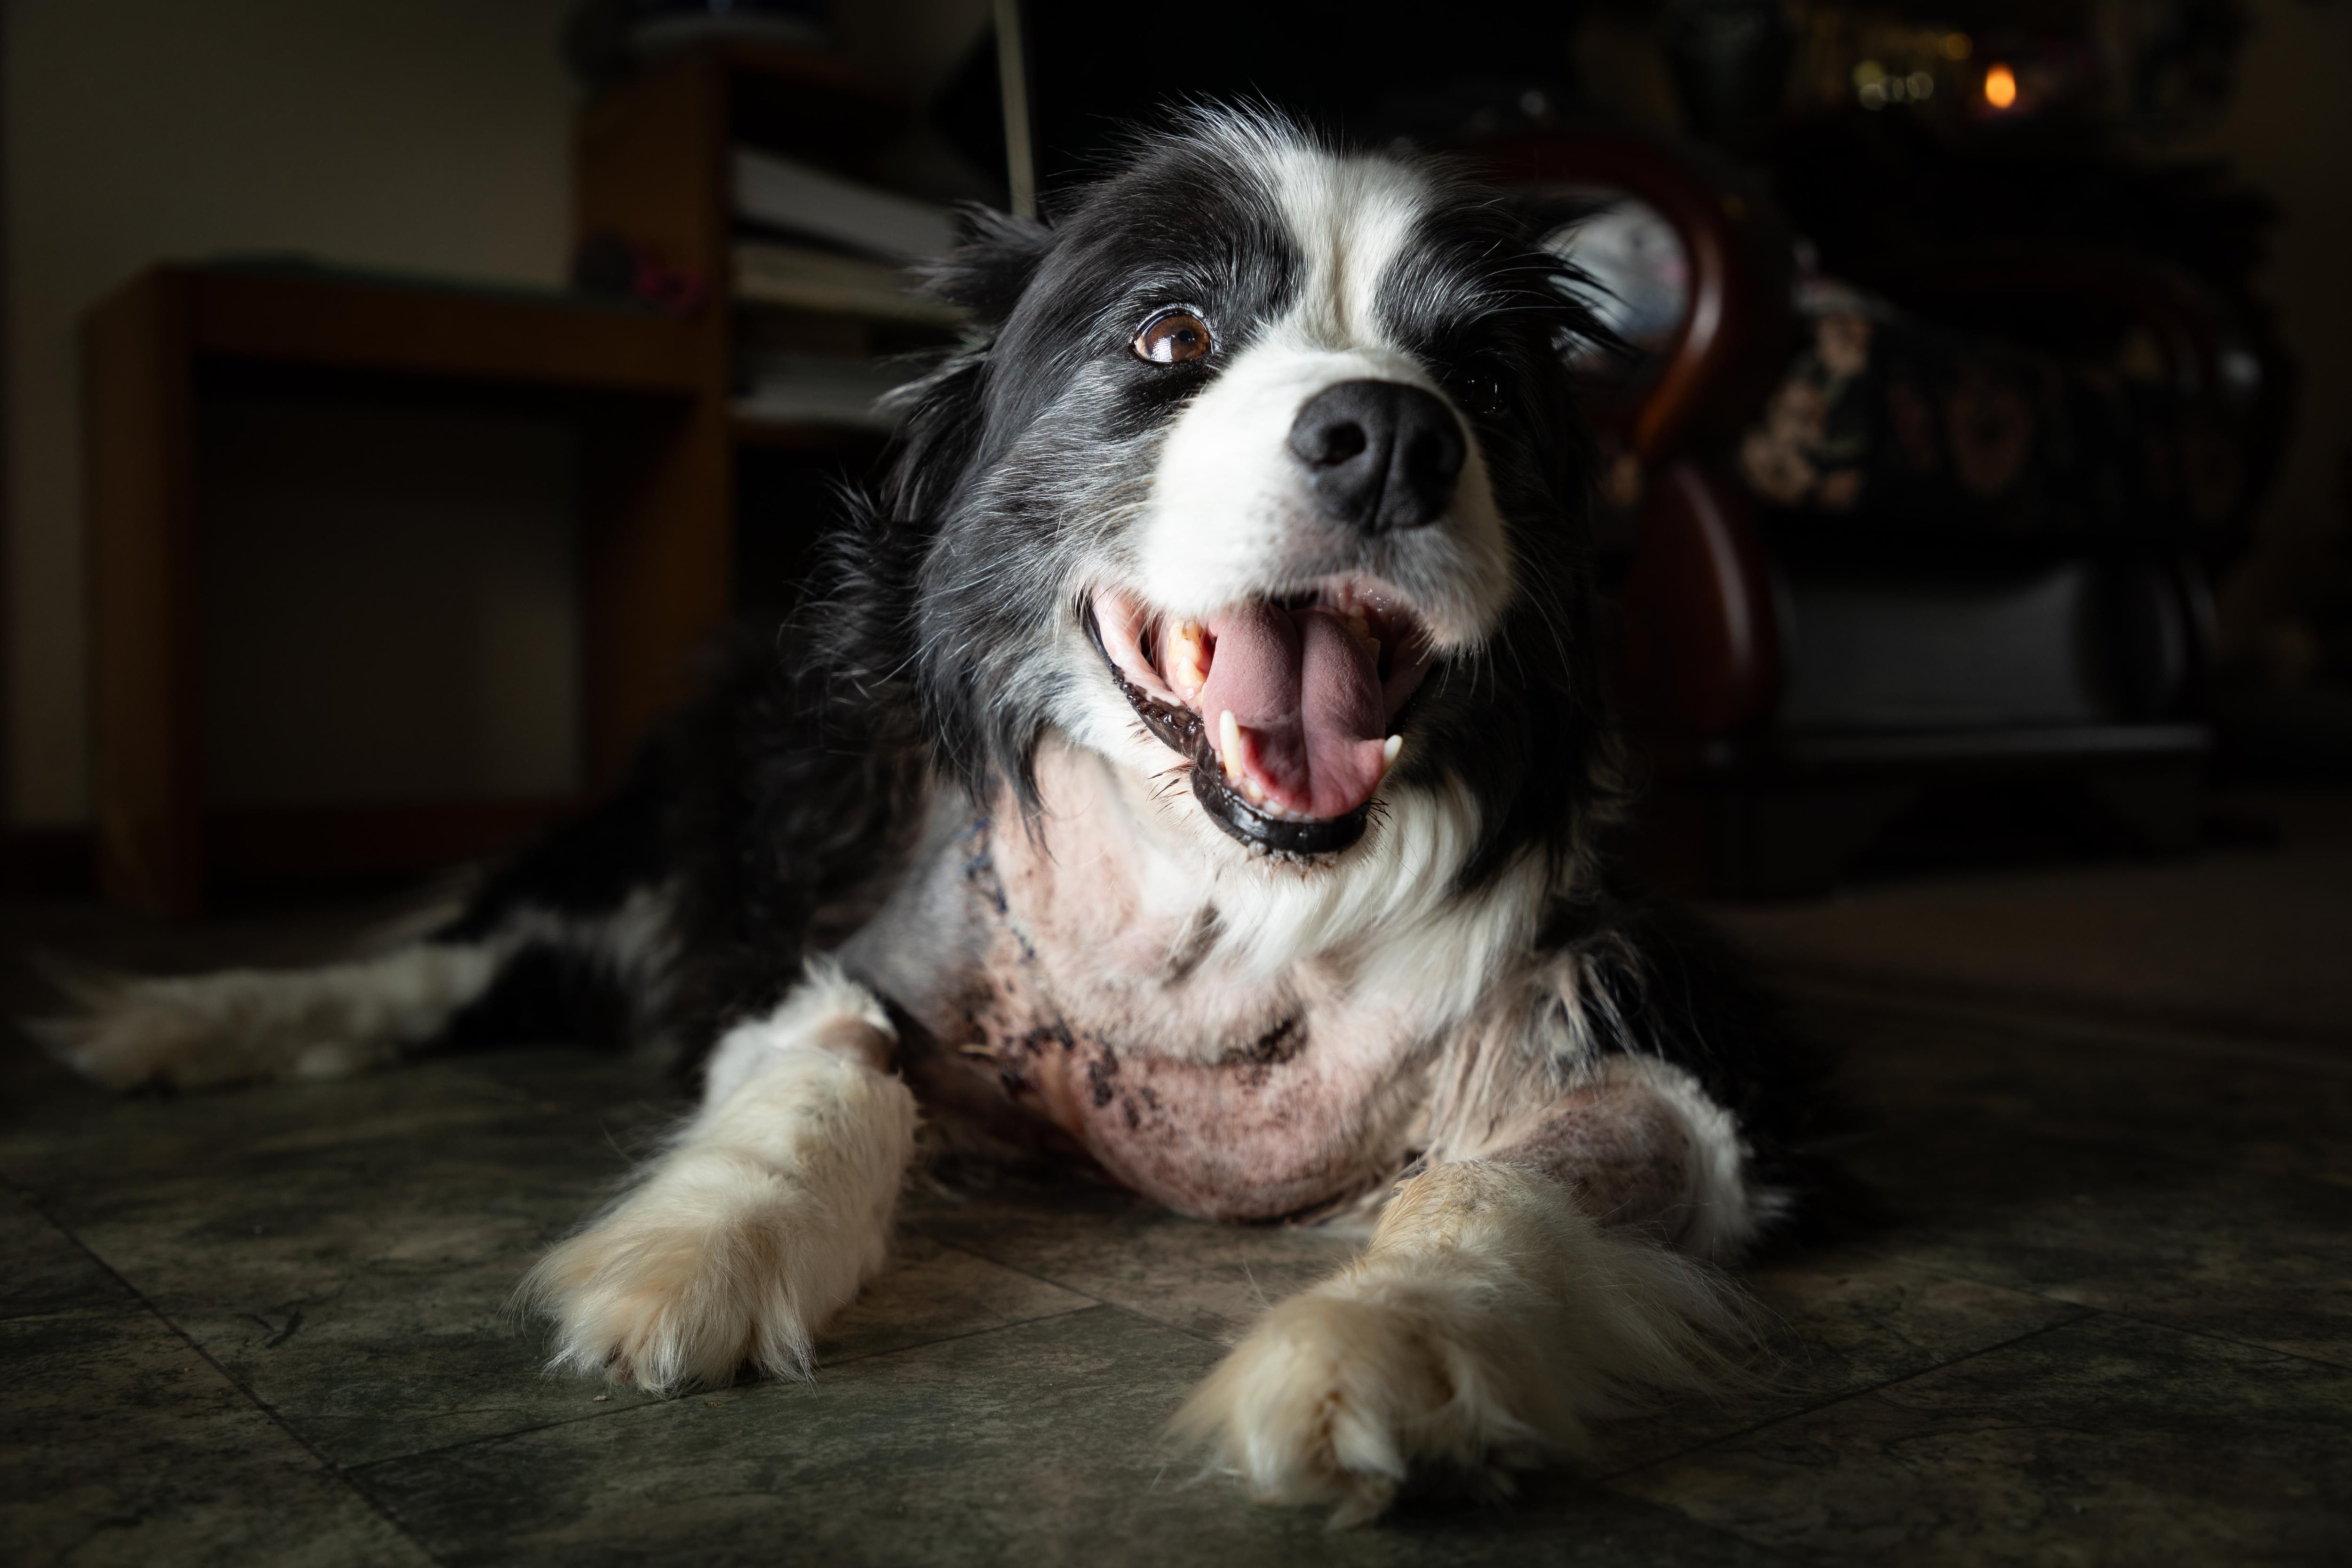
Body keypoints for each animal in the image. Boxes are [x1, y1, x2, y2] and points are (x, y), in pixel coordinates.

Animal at [59, 116, 1816, 1523]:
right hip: (646, 849)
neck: (1229, 897)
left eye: (1484, 383)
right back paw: (168, 1026)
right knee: (437, 960)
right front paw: (687, 1261)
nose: (1392, 433)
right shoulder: (849, 946)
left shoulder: (1679, 1034)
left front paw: (1378, 1353)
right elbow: (825, 1069)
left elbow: (1508, 1182)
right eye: (1169, 337)